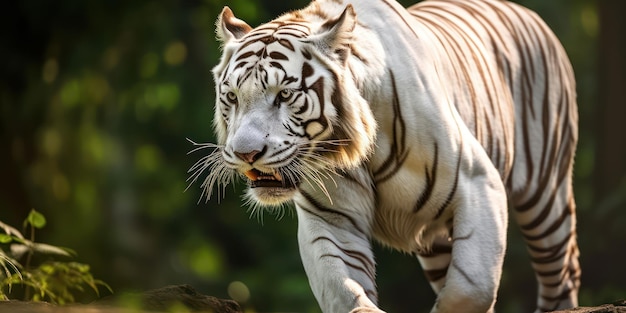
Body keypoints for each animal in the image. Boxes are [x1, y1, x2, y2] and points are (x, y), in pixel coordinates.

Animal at [188, 0, 576, 310]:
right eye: (232, 97)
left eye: (284, 94)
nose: (246, 153)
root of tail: (528, 13)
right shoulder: (331, 219)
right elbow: (345, 289)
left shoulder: (478, 182)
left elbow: (471, 287)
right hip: (437, 245)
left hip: (546, 198)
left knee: (563, 272)